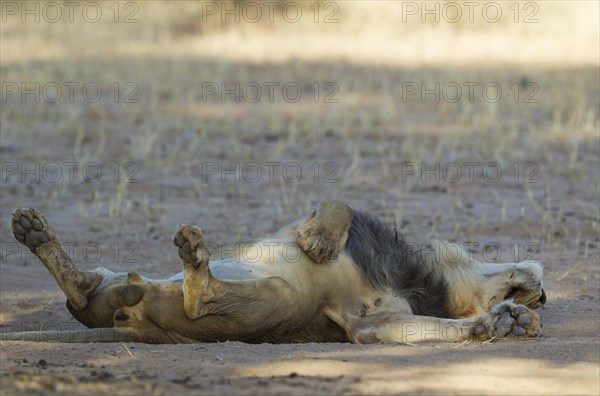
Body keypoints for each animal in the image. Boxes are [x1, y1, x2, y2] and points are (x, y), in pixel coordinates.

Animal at [1, 201, 544, 344]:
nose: (543, 293)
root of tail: (132, 323)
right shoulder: (303, 221)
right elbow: (337, 206)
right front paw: (319, 242)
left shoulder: (369, 323)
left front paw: (504, 324)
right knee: (84, 290)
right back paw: (32, 230)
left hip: (276, 298)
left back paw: (194, 263)